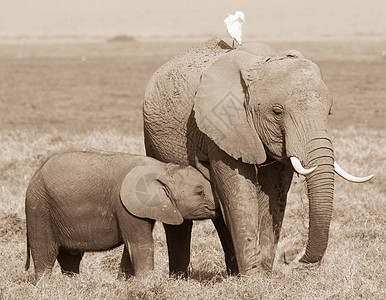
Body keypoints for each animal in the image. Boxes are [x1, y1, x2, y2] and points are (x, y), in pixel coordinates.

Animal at [25, 149, 216, 282]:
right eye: (199, 192)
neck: (162, 168)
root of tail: (35, 175)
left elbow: (130, 245)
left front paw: (124, 282)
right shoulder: (124, 205)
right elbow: (140, 244)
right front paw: (146, 283)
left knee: (70, 258)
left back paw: (73, 283)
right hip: (39, 208)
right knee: (45, 252)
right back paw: (45, 285)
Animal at [142, 38, 374, 276]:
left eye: (329, 112)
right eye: (277, 112)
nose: (294, 258)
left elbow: (274, 192)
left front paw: (263, 274)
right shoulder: (221, 127)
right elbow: (240, 194)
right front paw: (253, 277)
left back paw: (232, 272)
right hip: (152, 140)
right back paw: (179, 276)